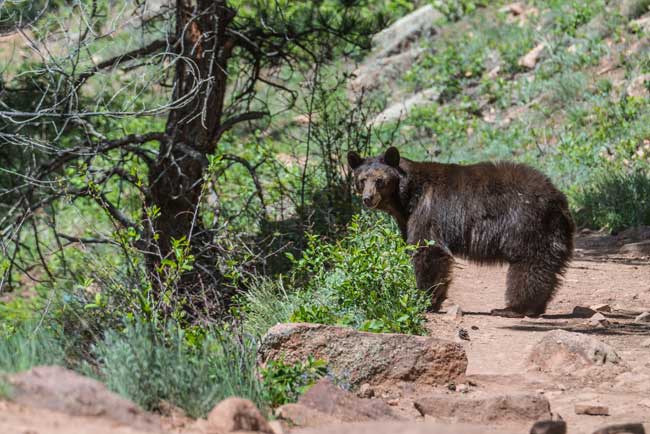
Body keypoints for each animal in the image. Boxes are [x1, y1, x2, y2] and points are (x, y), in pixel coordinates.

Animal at [346, 147, 576, 318]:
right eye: (361, 180)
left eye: (379, 180)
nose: (368, 199)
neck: (407, 196)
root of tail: (559, 199)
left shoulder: (429, 210)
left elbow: (428, 250)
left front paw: (424, 300)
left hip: (526, 225)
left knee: (529, 265)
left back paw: (514, 308)